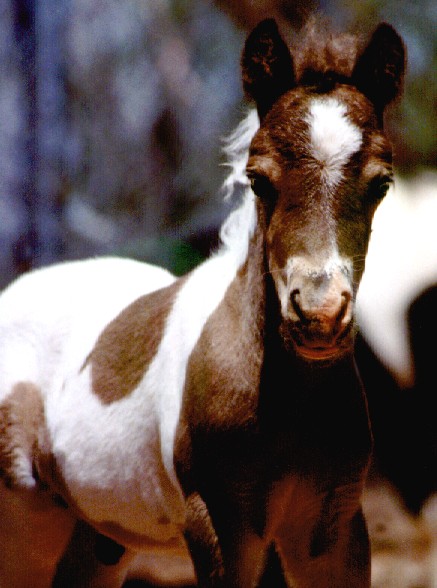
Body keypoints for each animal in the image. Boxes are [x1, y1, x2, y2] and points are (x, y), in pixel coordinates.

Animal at [0, 16, 404, 584]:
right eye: (258, 180)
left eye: (381, 184)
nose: (319, 316)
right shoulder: (218, 526)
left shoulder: (334, 529)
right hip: (25, 524)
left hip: (98, 538)